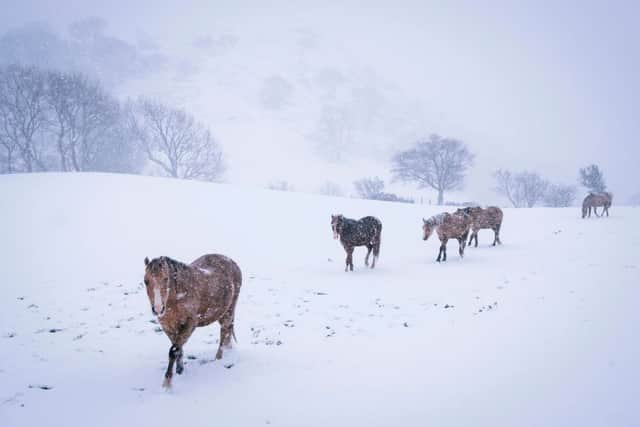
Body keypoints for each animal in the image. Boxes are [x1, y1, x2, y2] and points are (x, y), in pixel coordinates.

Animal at [144, 256, 241, 390]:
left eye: (166, 279)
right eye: (146, 281)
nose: (158, 309)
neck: (177, 298)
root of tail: (231, 261)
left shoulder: (190, 324)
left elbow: (173, 351)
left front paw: (167, 383)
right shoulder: (168, 327)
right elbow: (177, 348)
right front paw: (180, 370)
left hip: (229, 311)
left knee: (224, 333)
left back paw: (218, 358)